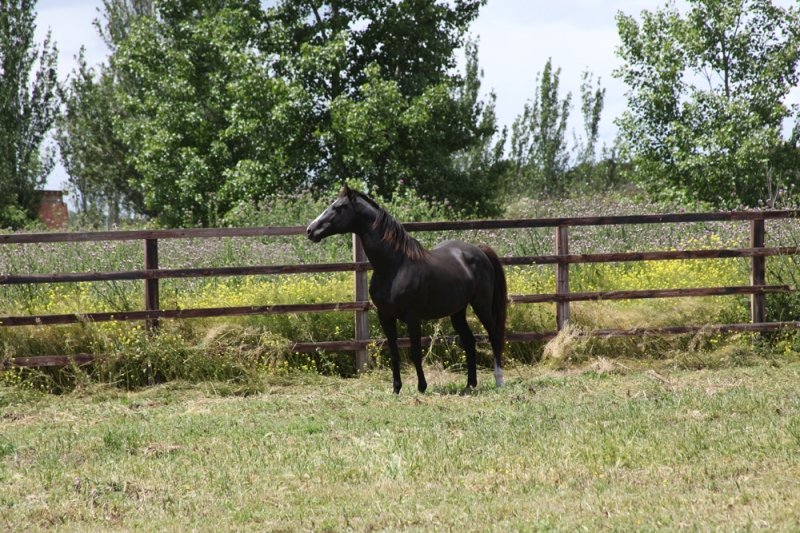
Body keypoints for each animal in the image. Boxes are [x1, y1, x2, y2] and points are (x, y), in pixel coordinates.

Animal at [306, 185, 507, 394]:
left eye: (339, 207)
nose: (310, 230)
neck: (394, 266)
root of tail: (479, 250)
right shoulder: (385, 316)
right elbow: (394, 353)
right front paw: (396, 389)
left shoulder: (412, 317)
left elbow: (415, 352)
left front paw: (421, 387)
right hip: (458, 311)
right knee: (469, 341)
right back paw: (470, 384)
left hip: (481, 305)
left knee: (494, 335)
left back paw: (499, 380)